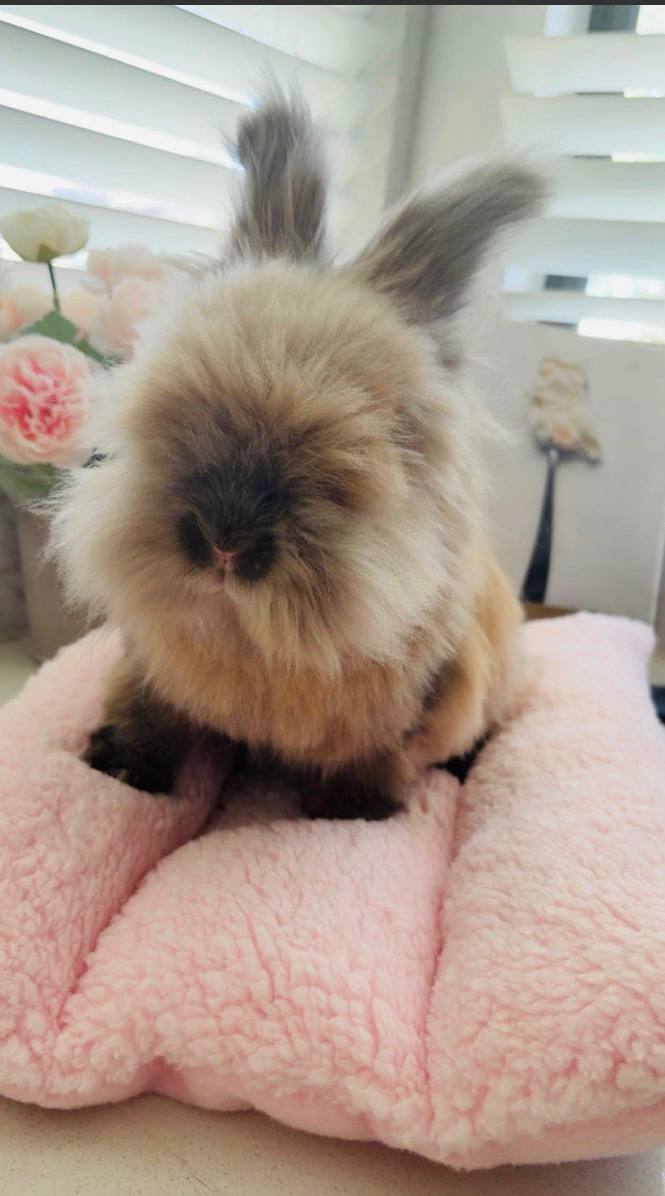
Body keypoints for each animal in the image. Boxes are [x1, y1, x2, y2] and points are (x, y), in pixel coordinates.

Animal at [52, 93, 546, 819]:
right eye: (172, 409)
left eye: (379, 439)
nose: (223, 540)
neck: (250, 638)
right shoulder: (150, 672)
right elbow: (145, 717)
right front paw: (116, 771)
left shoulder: (393, 728)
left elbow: (367, 770)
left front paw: (347, 819)